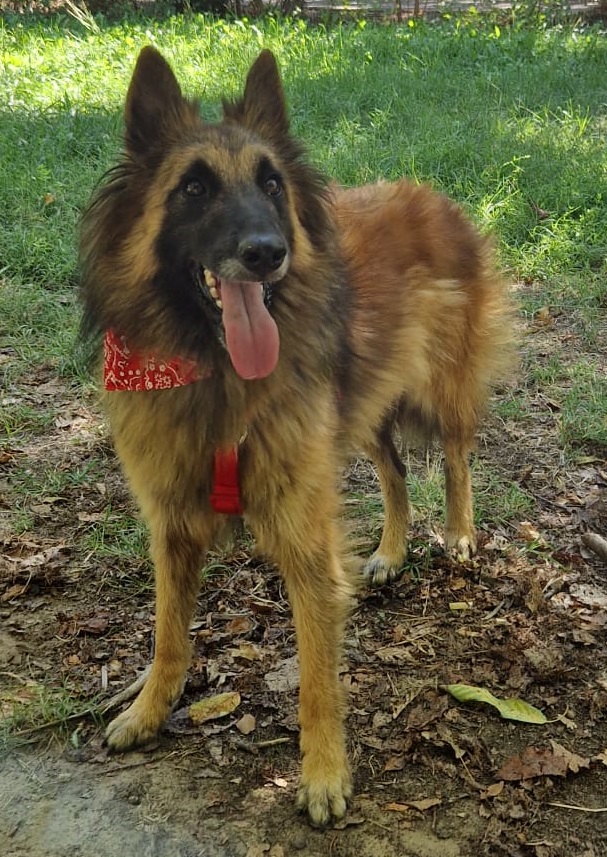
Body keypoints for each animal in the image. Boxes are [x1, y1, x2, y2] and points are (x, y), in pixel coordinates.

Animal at [77, 45, 512, 824]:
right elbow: (167, 636)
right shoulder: (172, 527)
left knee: (456, 457)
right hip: (358, 412)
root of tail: (433, 196)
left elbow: (316, 673)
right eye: (193, 188)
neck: (216, 367)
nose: (266, 252)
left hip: (438, 390)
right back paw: (391, 549)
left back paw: (459, 532)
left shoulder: (305, 539)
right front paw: (150, 712)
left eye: (272, 183)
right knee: (395, 472)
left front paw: (323, 773)